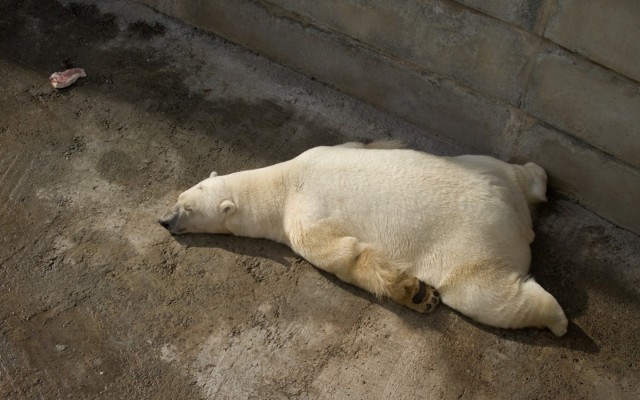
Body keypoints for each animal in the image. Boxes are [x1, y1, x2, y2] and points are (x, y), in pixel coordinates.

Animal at [158, 142, 568, 336]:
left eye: (187, 209)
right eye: (179, 197)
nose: (164, 220)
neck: (282, 182)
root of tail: (512, 212)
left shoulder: (301, 218)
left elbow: (342, 253)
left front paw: (414, 291)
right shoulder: (326, 150)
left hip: (471, 244)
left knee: (485, 295)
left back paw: (557, 319)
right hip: (485, 166)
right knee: (521, 171)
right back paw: (538, 177)